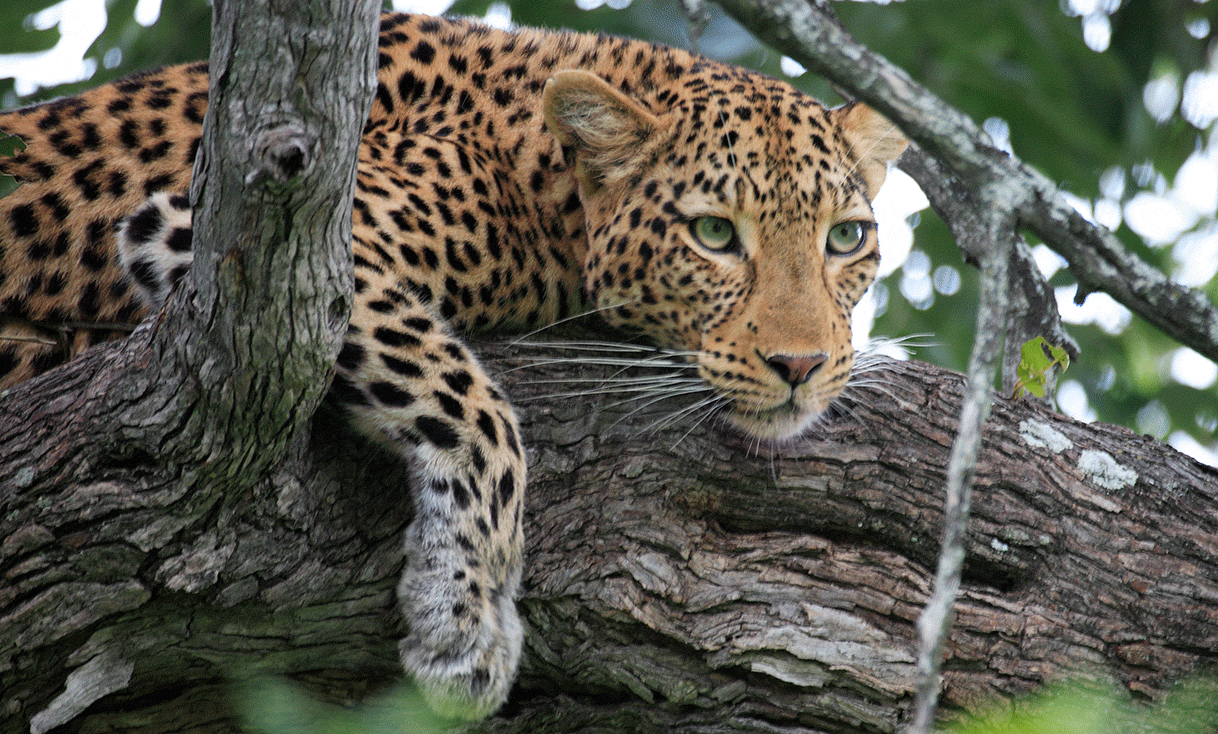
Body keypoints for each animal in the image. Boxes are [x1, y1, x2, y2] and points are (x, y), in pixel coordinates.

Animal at [0, 12, 906, 725]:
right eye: (714, 234)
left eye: (846, 238)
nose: (801, 364)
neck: (545, 180)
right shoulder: (238, 229)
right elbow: (472, 406)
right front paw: (463, 619)